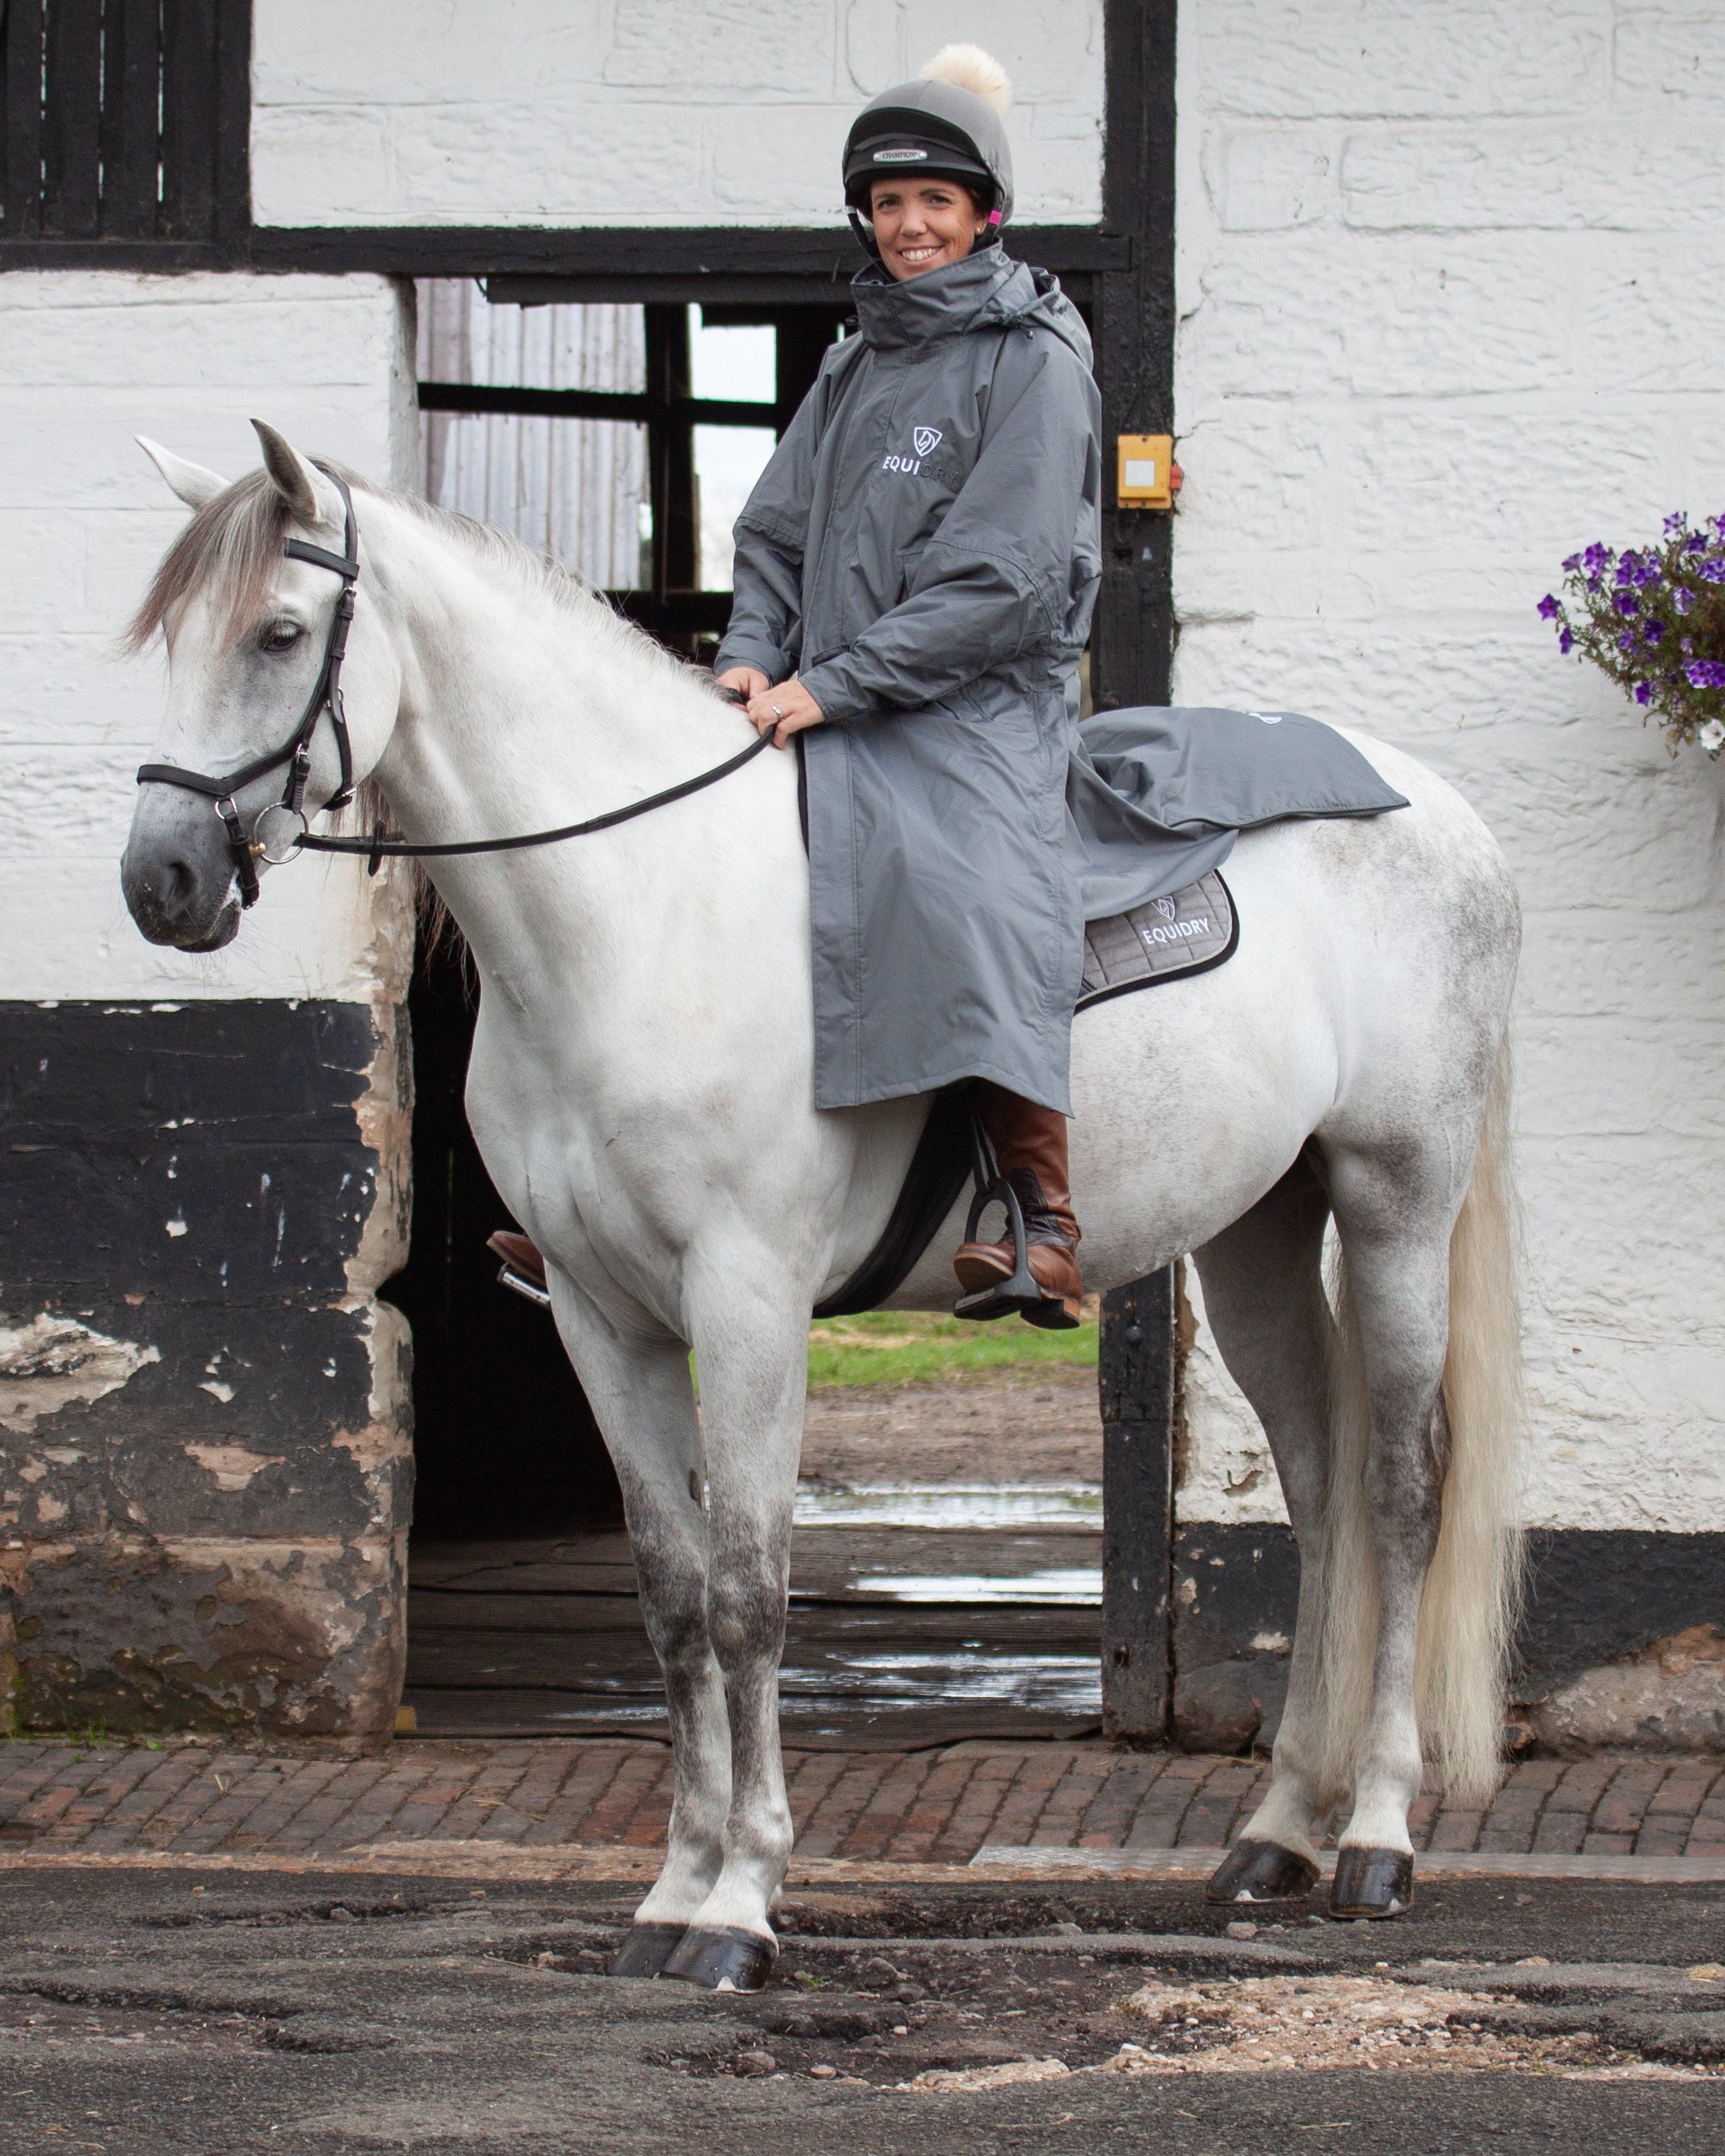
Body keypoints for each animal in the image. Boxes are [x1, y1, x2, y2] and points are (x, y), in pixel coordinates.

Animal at [120, 422, 1523, 1989]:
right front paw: (673, 1887)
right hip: (1257, 1235)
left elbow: (748, 1587)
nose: (161, 878)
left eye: (278, 631)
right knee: (1321, 1489)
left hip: (1397, 1198)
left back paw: (1378, 1834)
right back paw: (1276, 1829)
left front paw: (742, 1901)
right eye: (170, 633)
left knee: (1399, 1492)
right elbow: (672, 1595)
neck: (642, 910)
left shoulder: (746, 1298)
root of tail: (1435, 806)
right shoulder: (600, 1316)